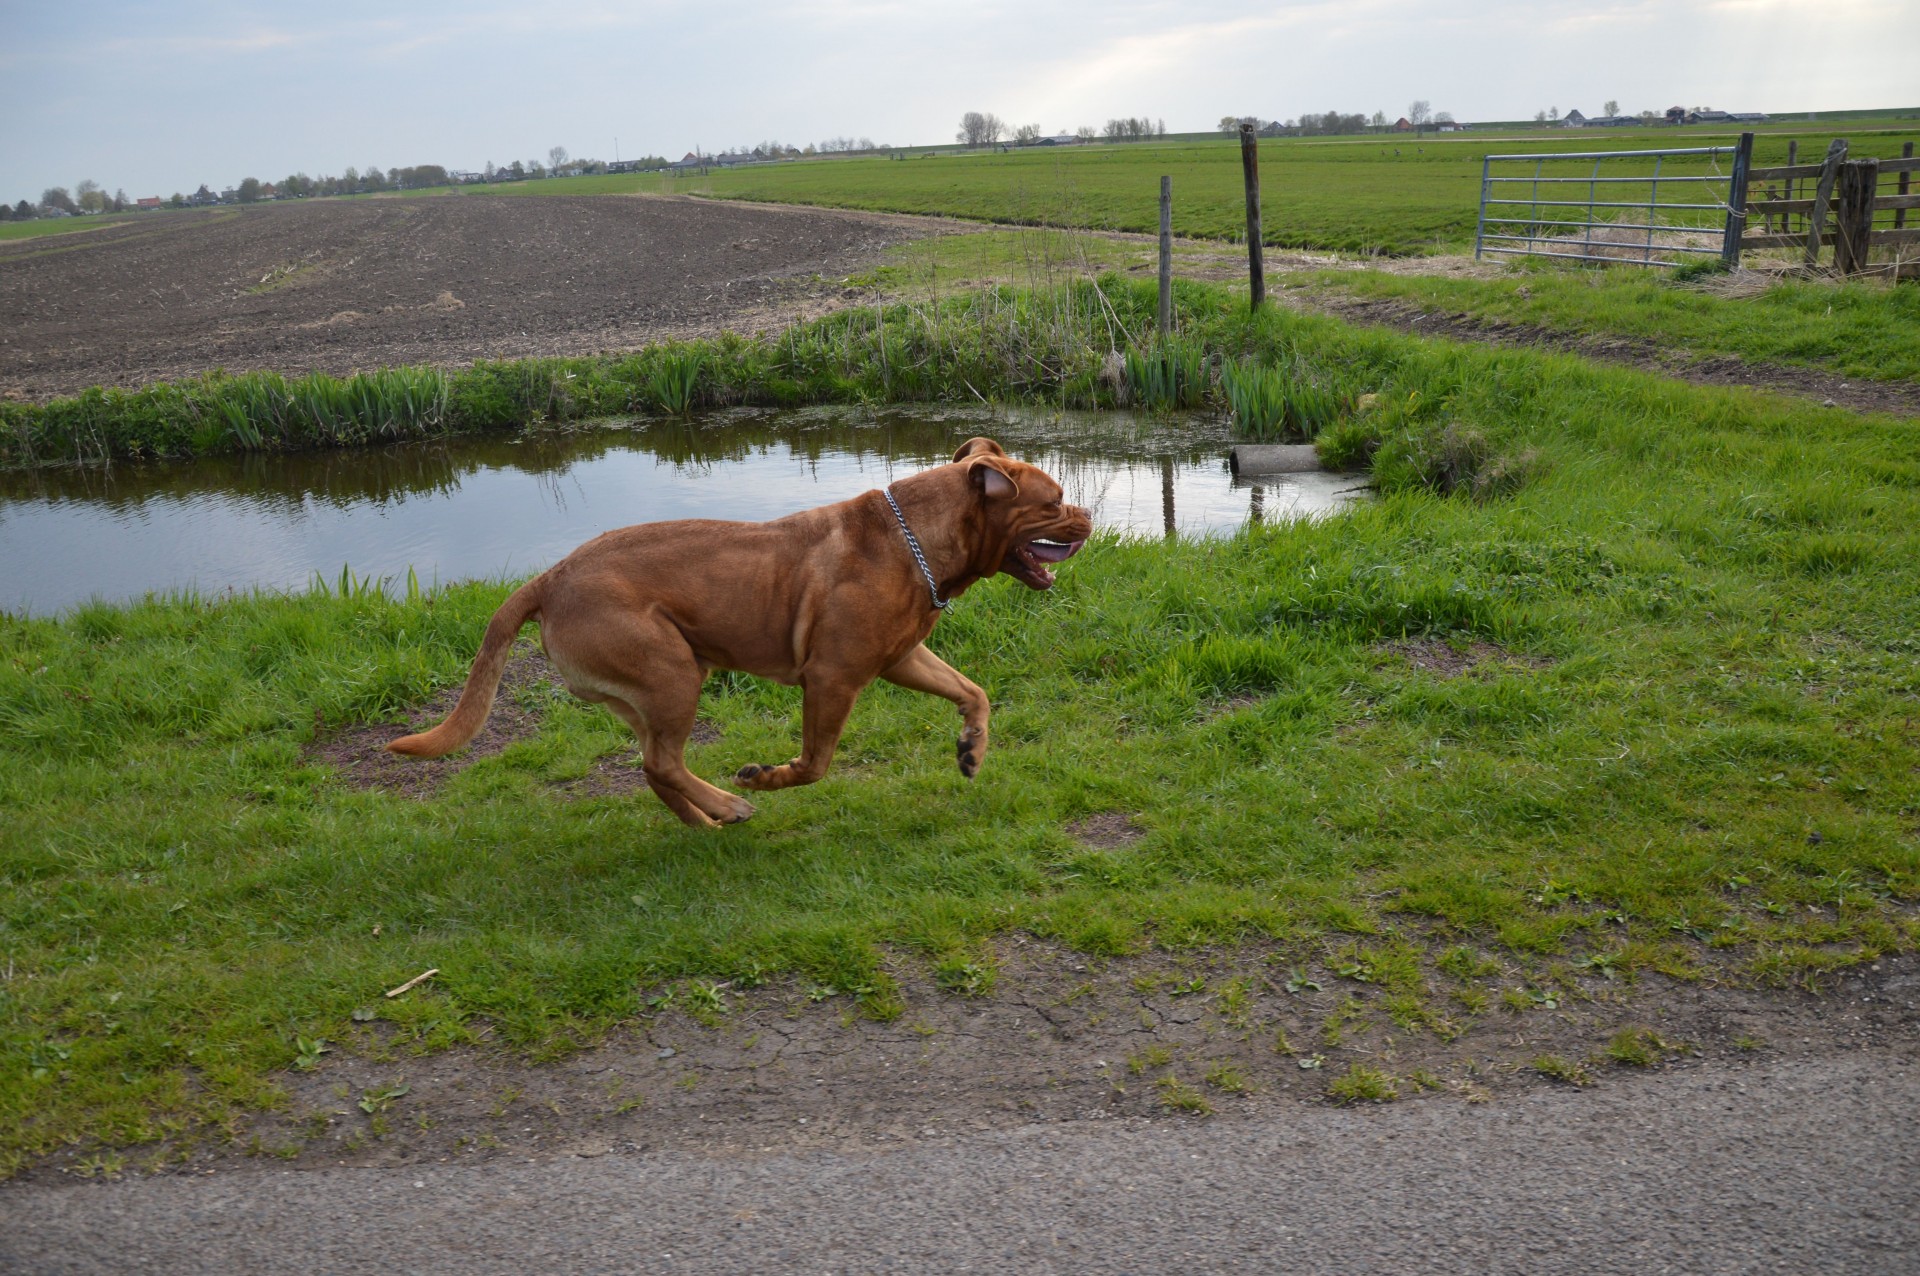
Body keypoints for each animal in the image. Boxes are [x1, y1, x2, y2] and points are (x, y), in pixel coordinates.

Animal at [385, 435, 1098, 825]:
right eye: (1055, 501)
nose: (1091, 516)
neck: (918, 540)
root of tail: (548, 578)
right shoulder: (832, 679)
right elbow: (814, 764)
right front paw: (766, 776)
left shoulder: (903, 658)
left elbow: (973, 691)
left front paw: (972, 749)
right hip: (670, 673)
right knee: (662, 763)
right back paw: (731, 803)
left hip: (653, 687)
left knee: (655, 767)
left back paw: (707, 818)